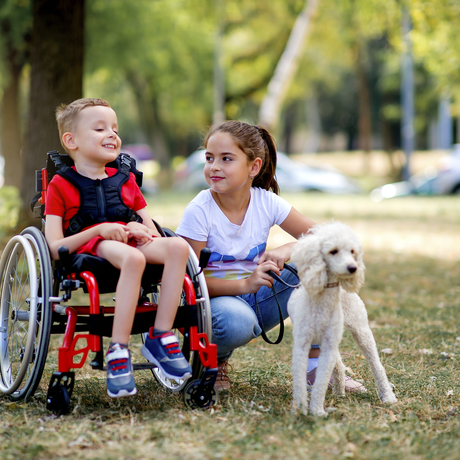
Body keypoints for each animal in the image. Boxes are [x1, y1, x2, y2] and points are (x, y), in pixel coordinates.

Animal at [290, 220, 398, 416]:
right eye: (333, 251)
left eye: (352, 251)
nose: (352, 268)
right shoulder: (302, 344)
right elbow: (300, 381)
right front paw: (300, 409)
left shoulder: (327, 343)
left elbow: (321, 381)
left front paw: (316, 411)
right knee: (339, 365)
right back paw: (339, 392)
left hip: (360, 330)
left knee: (376, 365)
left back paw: (387, 396)